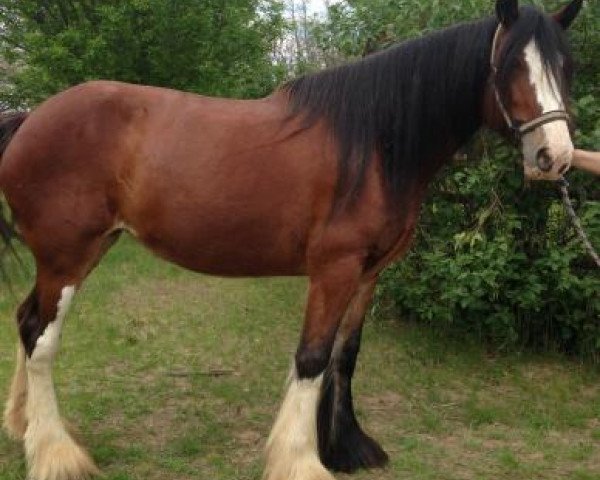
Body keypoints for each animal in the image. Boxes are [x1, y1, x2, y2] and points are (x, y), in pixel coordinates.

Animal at [0, 0, 580, 480]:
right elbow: (312, 358)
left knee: (26, 320)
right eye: (510, 67)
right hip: (67, 257)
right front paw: (300, 461)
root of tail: (30, 118)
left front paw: (347, 448)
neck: (372, 142)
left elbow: (346, 355)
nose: (555, 157)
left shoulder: (369, 272)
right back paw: (56, 455)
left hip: (84, 252)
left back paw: (24, 428)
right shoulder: (334, 268)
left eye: (566, 67)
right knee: (41, 338)